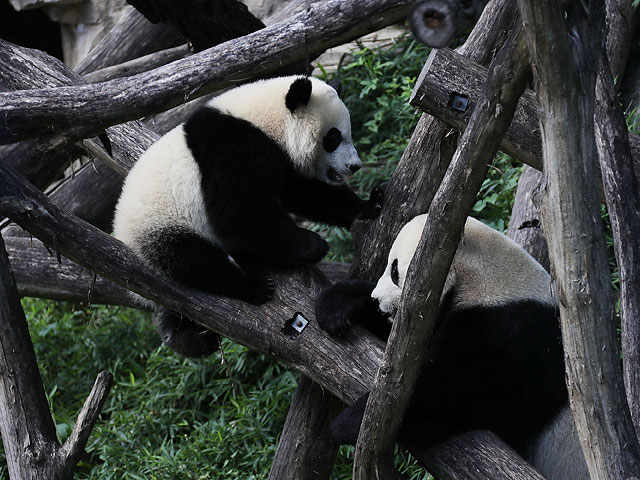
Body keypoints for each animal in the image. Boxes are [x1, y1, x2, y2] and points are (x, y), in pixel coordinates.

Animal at [113, 75, 382, 358]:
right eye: (333, 136)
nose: (354, 166)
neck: (264, 120)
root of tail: (121, 233)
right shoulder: (234, 149)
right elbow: (239, 212)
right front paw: (313, 245)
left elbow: (302, 191)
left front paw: (368, 205)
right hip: (160, 227)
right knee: (194, 260)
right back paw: (252, 288)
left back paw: (188, 337)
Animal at [314, 215, 584, 480]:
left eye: (394, 271)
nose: (377, 299)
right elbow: (401, 336)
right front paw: (338, 305)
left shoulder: (510, 338)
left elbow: (451, 394)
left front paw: (353, 422)